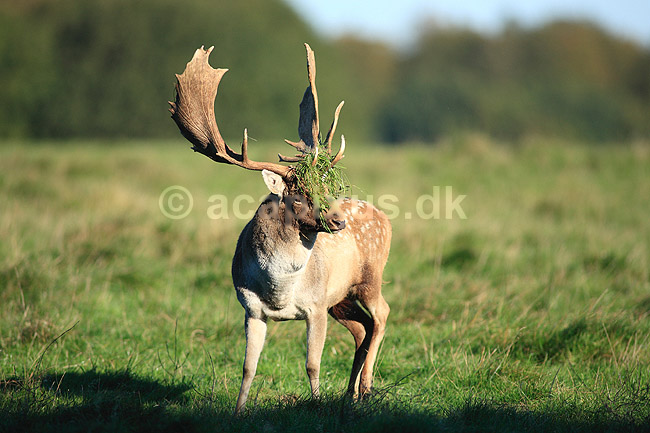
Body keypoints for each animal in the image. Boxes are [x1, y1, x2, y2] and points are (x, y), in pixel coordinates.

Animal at [169, 43, 391, 414]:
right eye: (299, 196)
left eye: (325, 187)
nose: (338, 220)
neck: (279, 292)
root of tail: (384, 217)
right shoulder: (251, 309)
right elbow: (248, 367)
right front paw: (238, 411)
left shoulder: (316, 306)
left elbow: (312, 364)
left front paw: (316, 404)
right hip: (341, 297)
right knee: (362, 328)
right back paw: (350, 395)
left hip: (369, 277)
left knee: (382, 315)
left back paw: (367, 387)